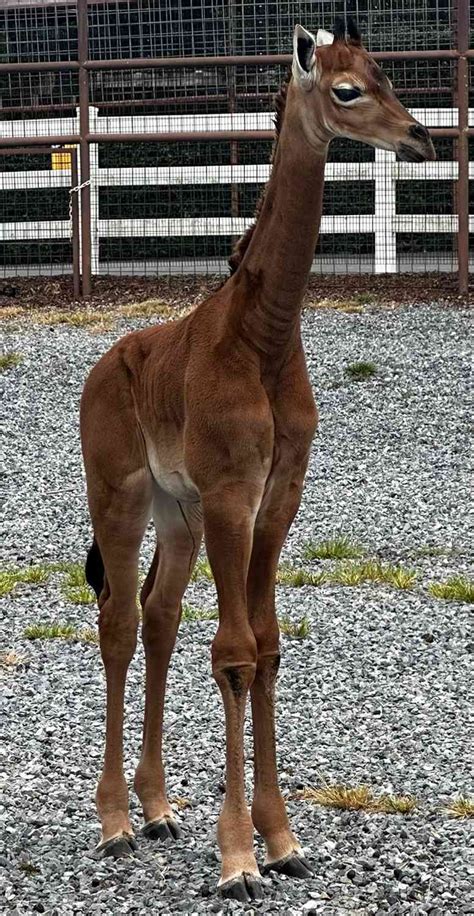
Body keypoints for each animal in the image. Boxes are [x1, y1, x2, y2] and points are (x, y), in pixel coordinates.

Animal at [79, 17, 436, 904]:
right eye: (346, 90)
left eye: (386, 74)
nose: (420, 137)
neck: (263, 338)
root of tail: (101, 368)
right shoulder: (231, 494)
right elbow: (235, 654)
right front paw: (238, 857)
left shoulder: (278, 498)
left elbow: (267, 647)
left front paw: (281, 841)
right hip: (121, 494)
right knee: (118, 621)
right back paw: (115, 822)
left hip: (176, 511)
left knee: (158, 615)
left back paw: (158, 808)